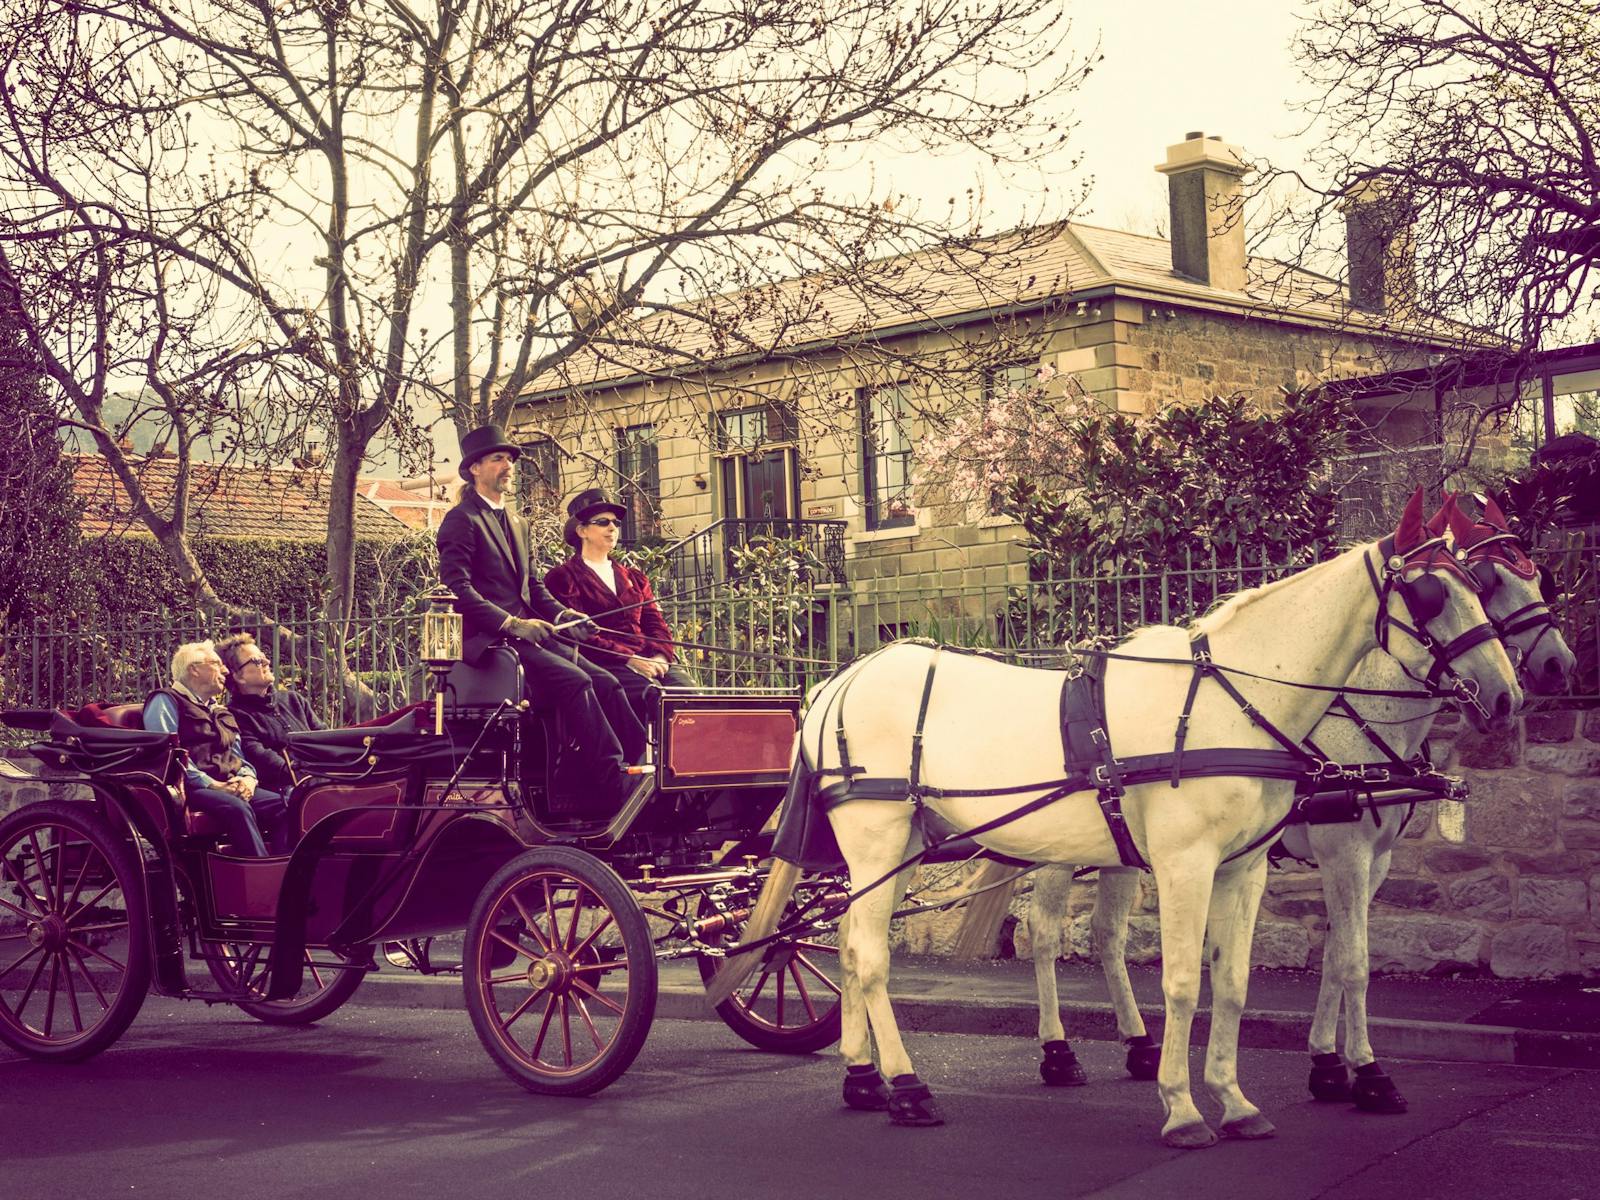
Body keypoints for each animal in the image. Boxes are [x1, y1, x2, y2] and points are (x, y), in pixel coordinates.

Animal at [806, 492, 1516, 1152]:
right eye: (1430, 594)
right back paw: (908, 1086)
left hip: (906, 847)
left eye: (1479, 585)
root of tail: (840, 681)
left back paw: (863, 1077)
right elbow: (1185, 983)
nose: (1508, 694)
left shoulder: (1245, 868)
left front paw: (1235, 1100)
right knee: (875, 954)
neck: (1237, 702)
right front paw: (1183, 1108)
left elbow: (1232, 981)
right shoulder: (1193, 862)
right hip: (880, 842)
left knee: (849, 941)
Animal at [1024, 489, 1574, 1120]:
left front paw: (1328, 1065)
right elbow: (1356, 963)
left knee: (1107, 933)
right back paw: (1058, 1051)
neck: (1358, 718)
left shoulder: (1373, 859)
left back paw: (1140, 1045)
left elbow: (1336, 954)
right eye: (1484, 584)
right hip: (1059, 850)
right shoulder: (1344, 853)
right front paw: (1369, 1073)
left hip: (1118, 847)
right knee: (1044, 932)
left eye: (1533, 579)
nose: (1546, 673)